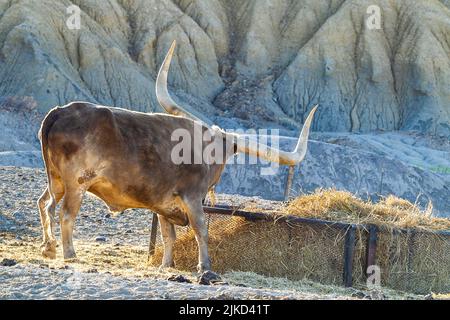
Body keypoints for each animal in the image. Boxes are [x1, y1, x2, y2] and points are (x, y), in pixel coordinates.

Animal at [38, 39, 318, 270]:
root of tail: (60, 111)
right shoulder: (192, 197)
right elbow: (200, 229)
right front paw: (205, 267)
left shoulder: (163, 205)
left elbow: (168, 235)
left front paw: (166, 265)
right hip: (77, 182)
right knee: (64, 213)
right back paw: (69, 253)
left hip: (56, 179)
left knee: (44, 204)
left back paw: (49, 248)